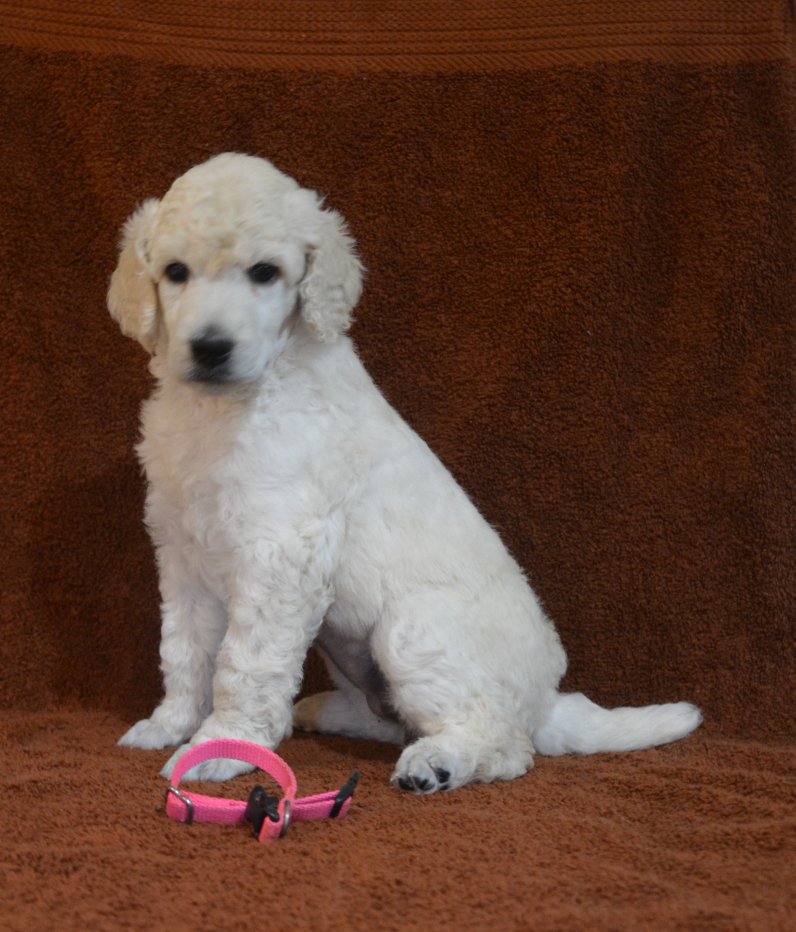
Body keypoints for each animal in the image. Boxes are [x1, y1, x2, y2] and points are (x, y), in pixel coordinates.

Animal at [109, 153, 702, 793]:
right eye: (175, 272)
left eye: (265, 273)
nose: (210, 348)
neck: (224, 408)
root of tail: (545, 703)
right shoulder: (182, 551)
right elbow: (185, 651)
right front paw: (171, 724)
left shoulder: (281, 551)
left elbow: (242, 662)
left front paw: (223, 746)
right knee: (393, 718)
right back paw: (323, 711)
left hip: (412, 631)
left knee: (504, 744)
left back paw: (436, 763)